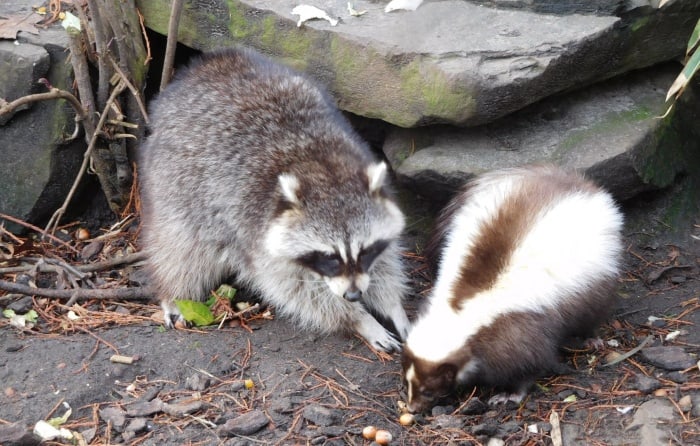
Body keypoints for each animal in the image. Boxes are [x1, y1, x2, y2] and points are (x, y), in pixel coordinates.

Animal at [138, 48, 410, 352]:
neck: (321, 169)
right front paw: (360, 320)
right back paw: (174, 294)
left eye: (364, 252)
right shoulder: (256, 230)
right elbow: (296, 291)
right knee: (181, 248)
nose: (353, 295)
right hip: (176, 180)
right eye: (329, 257)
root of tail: (202, 67)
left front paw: (393, 305)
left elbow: (384, 263)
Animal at [400, 166, 624, 412]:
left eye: (429, 390)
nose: (412, 407)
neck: (461, 309)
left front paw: (509, 395)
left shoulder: (517, 333)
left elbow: (528, 366)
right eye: (407, 381)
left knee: (594, 311)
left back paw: (591, 338)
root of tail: (573, 184)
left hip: (597, 280)